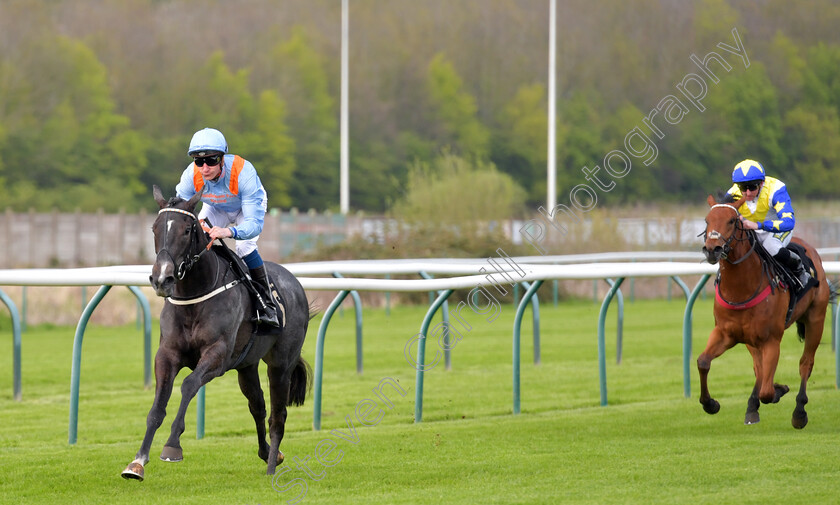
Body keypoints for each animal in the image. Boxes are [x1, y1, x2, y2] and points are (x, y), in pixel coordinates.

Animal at [700, 192, 832, 426]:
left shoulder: (771, 340)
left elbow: (767, 392)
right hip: (751, 339)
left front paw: (780, 391)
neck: (741, 289)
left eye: (732, 221)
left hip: (816, 319)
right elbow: (703, 362)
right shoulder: (725, 333)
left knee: (805, 363)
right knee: (759, 368)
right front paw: (710, 404)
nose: (712, 249)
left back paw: (799, 412)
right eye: (707, 220)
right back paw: (752, 406)